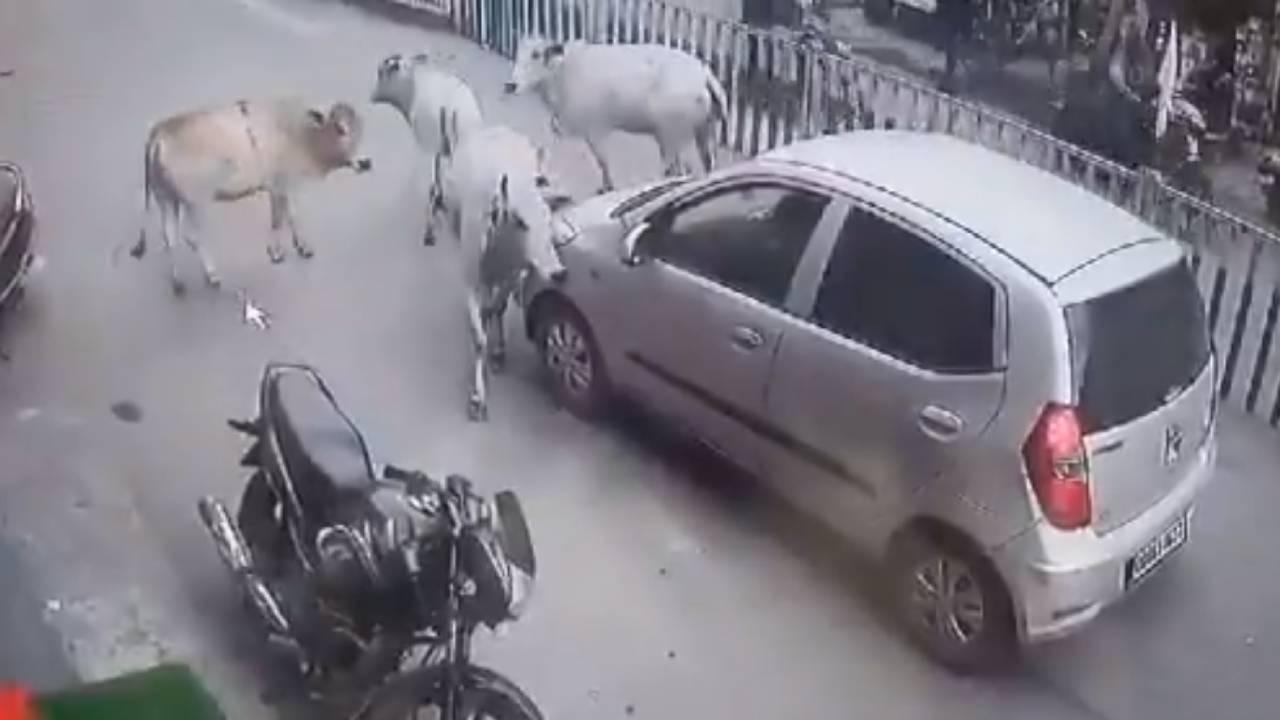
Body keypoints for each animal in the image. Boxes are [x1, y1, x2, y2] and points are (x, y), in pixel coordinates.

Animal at [131, 98, 371, 294]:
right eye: (340, 129)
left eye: (360, 129)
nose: (365, 162)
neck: (299, 133)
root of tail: (159, 133)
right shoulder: (278, 185)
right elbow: (278, 220)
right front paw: (276, 253)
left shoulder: (287, 186)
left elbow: (293, 215)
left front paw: (302, 247)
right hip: (195, 202)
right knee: (193, 236)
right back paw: (212, 275)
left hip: (165, 198)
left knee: (169, 237)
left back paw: (178, 282)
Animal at [432, 122, 568, 420]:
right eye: (520, 221)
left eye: (547, 216)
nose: (558, 273)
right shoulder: (471, 281)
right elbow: (478, 337)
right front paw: (478, 397)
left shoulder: (512, 275)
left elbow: (497, 308)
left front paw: (499, 351)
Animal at [509, 35, 732, 192]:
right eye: (519, 53)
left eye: (536, 54)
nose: (510, 86)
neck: (564, 71)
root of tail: (703, 74)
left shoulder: (595, 129)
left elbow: (603, 162)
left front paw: (608, 187)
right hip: (702, 131)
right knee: (704, 165)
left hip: (673, 135)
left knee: (678, 169)